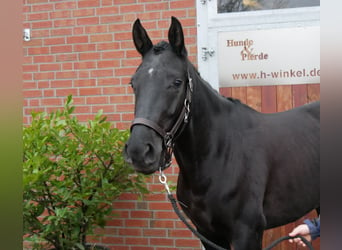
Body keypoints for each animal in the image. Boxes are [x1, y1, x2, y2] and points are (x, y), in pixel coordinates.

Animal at [124, 16, 320, 249]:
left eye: (177, 82)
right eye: (133, 83)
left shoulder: (247, 233)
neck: (219, 155)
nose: (139, 151)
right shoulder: (207, 233)